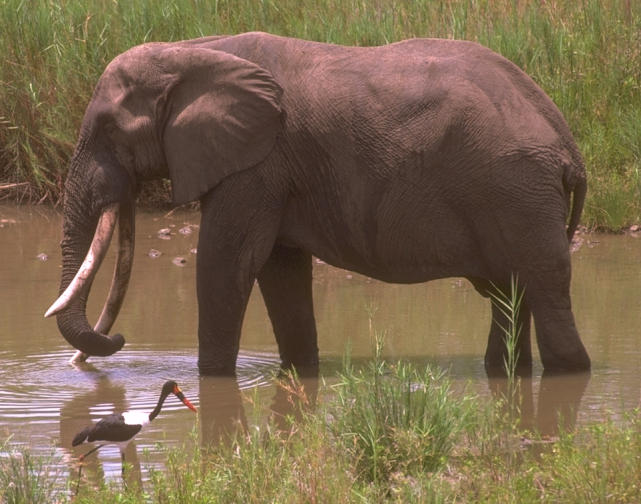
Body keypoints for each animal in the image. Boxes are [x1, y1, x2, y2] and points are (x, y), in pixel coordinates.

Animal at [46, 31, 592, 376]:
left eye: (108, 129)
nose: (118, 342)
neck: (191, 51)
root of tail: (567, 142)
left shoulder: (256, 163)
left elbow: (227, 264)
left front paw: (212, 379)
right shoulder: (272, 170)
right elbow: (280, 270)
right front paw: (300, 372)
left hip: (517, 190)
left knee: (545, 291)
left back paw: (569, 372)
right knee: (510, 296)